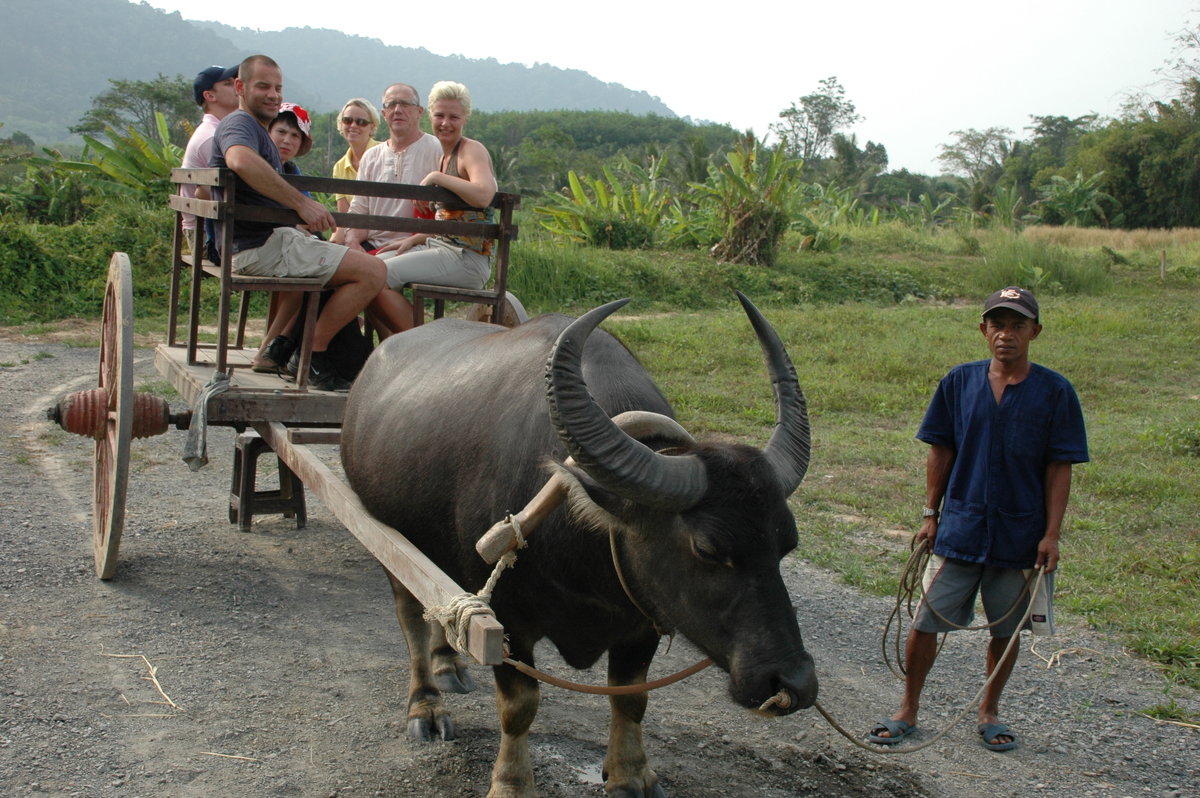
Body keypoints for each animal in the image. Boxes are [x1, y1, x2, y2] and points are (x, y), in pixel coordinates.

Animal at [343, 294, 820, 796]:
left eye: (787, 543)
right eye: (707, 549)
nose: (794, 682)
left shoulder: (643, 618)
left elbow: (632, 700)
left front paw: (631, 772)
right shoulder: (507, 622)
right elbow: (519, 706)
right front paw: (512, 782)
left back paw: (449, 664)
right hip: (390, 542)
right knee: (411, 619)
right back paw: (427, 705)